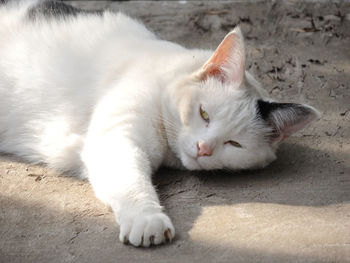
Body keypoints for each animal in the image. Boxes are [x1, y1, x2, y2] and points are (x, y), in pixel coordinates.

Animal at [0, 0, 320, 248]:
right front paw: (146, 219)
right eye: (204, 114)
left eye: (234, 143)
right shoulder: (115, 140)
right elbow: (131, 182)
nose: (203, 148)